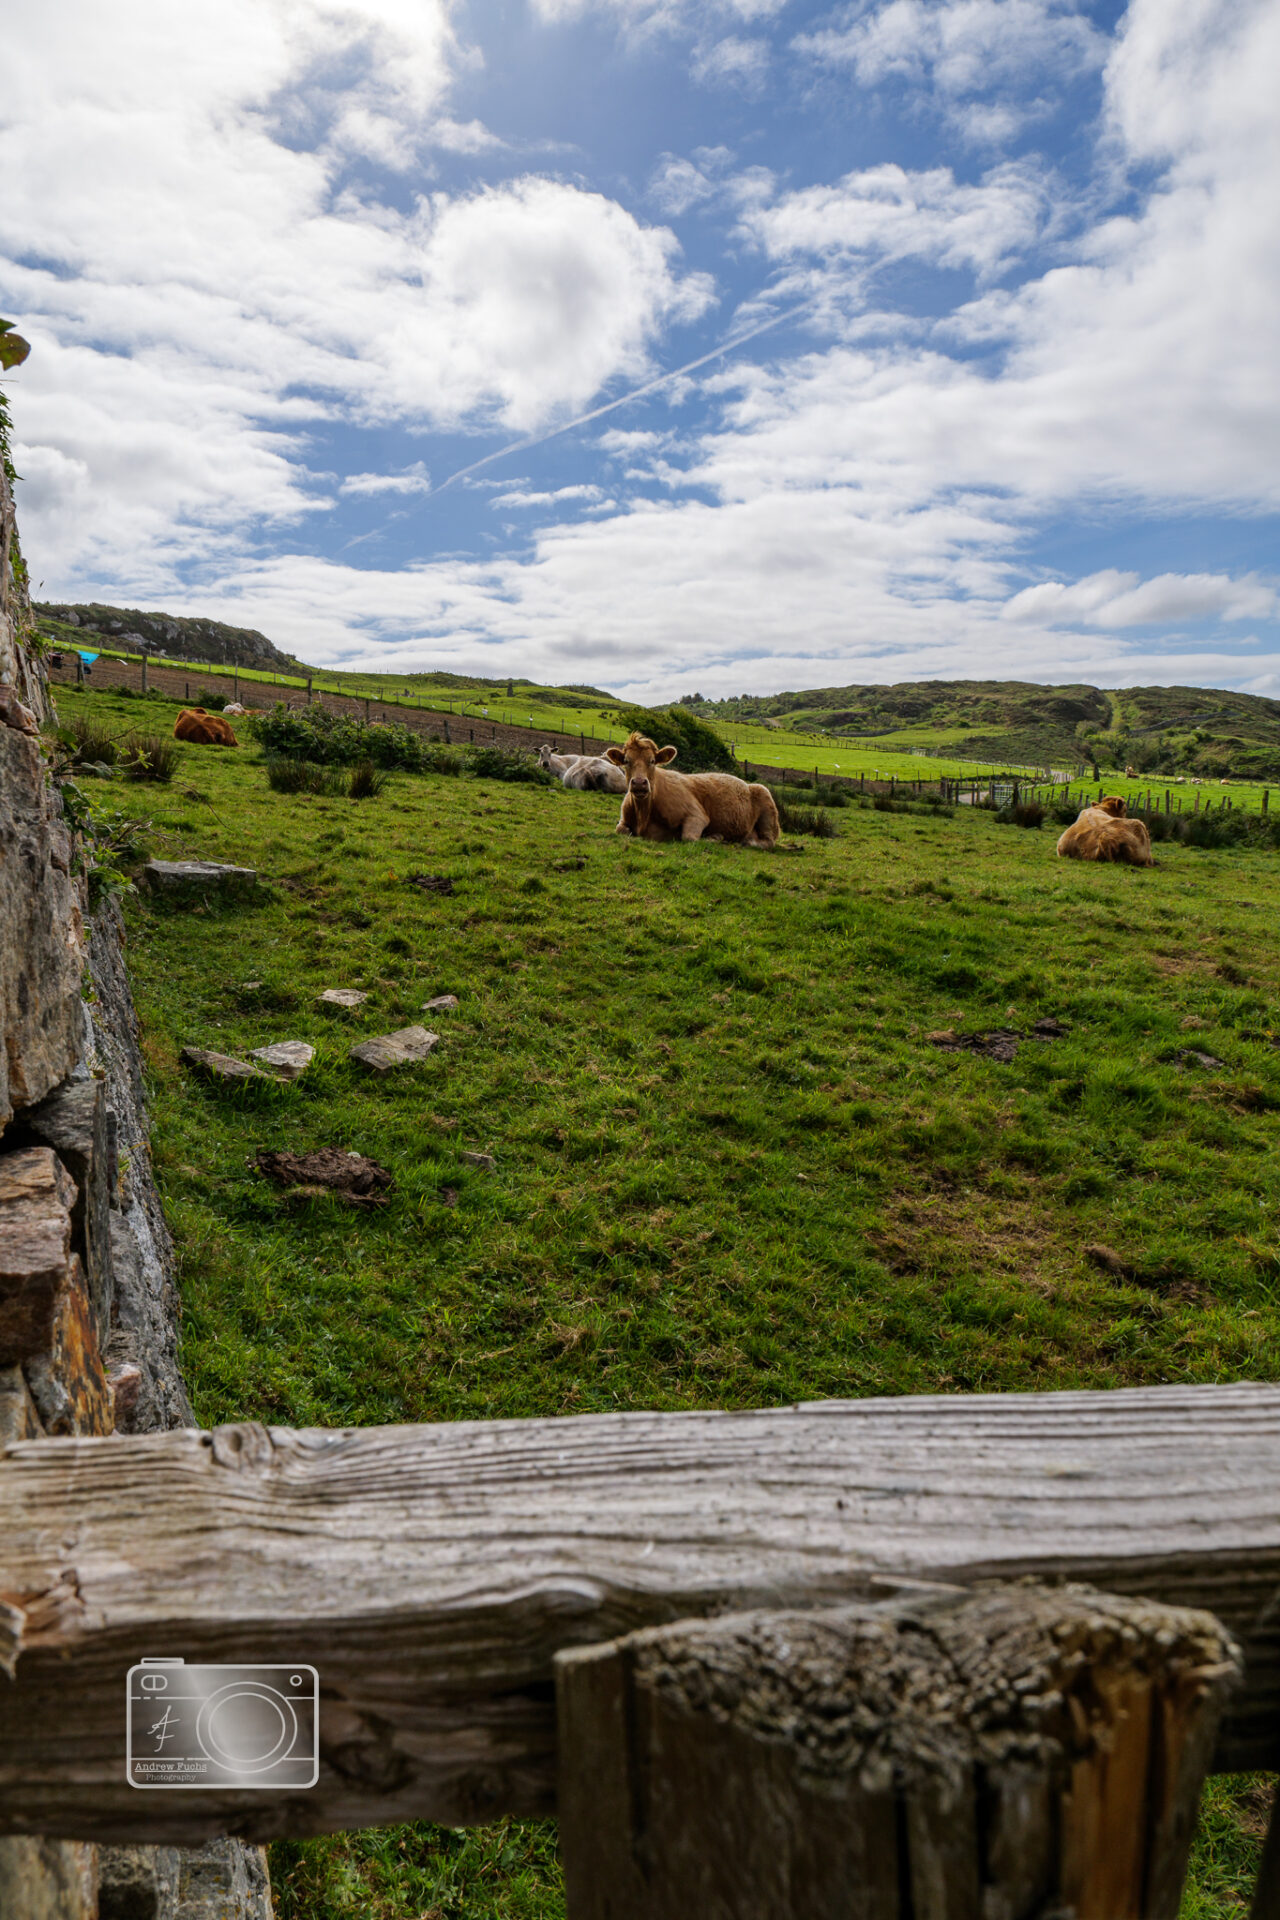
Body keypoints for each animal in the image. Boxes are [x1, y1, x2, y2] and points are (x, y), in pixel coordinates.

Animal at [605, 732, 780, 849]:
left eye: (652, 761)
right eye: (626, 761)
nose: (639, 783)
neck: (644, 814)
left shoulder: (697, 815)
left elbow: (689, 837)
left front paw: (715, 837)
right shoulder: (623, 820)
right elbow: (620, 829)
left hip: (765, 800)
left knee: (768, 841)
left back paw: (747, 841)